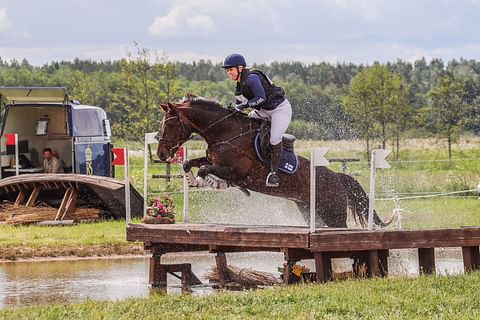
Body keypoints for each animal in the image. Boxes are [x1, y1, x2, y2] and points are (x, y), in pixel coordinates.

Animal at [158, 95, 390, 228]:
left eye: (170, 125)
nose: (161, 154)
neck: (226, 132)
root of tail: (338, 178)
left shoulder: (238, 172)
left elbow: (205, 169)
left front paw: (213, 183)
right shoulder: (214, 159)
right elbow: (190, 163)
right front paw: (193, 181)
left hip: (334, 213)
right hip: (310, 212)